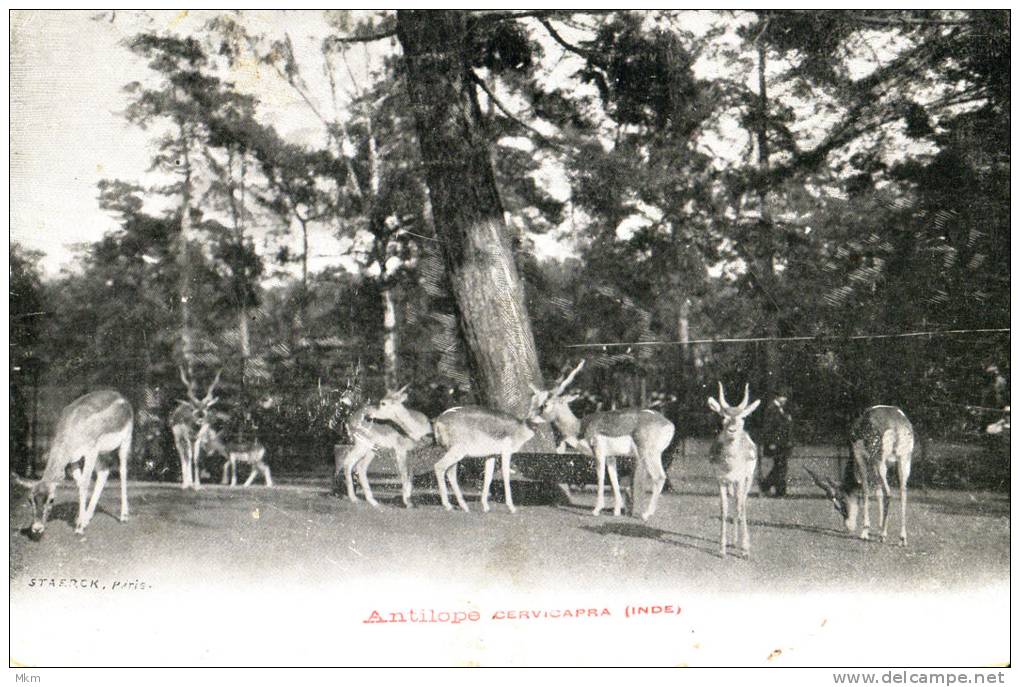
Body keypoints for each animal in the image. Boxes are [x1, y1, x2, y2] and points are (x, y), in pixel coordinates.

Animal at [15, 387, 133, 538]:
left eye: (52, 499)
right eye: (30, 499)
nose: (37, 527)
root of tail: (123, 397)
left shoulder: (90, 451)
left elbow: (84, 484)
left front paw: (79, 528)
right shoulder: (74, 460)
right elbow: (79, 484)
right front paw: (80, 520)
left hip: (125, 441)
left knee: (122, 471)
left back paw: (124, 516)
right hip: (101, 453)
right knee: (104, 472)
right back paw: (88, 517)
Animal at [534, 360, 677, 515]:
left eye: (545, 405)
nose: (532, 418)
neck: (580, 427)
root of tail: (668, 424)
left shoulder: (598, 452)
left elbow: (600, 477)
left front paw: (597, 509)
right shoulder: (611, 456)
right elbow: (614, 479)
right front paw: (616, 510)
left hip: (647, 453)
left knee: (659, 477)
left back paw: (646, 514)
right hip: (656, 454)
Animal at [705, 379, 762, 554]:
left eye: (743, 417)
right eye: (723, 416)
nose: (732, 430)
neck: (730, 466)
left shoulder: (741, 479)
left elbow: (740, 506)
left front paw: (745, 550)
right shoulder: (720, 480)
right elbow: (724, 509)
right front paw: (722, 548)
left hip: (748, 478)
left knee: (742, 503)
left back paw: (742, 543)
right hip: (732, 484)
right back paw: (734, 541)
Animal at [803, 403, 918, 542]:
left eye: (841, 501)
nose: (848, 527)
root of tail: (897, 426)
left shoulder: (861, 458)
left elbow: (865, 489)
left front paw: (865, 531)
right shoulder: (874, 465)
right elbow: (878, 491)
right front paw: (879, 526)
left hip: (880, 459)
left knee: (889, 493)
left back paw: (883, 536)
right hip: (904, 459)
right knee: (903, 491)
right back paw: (902, 538)